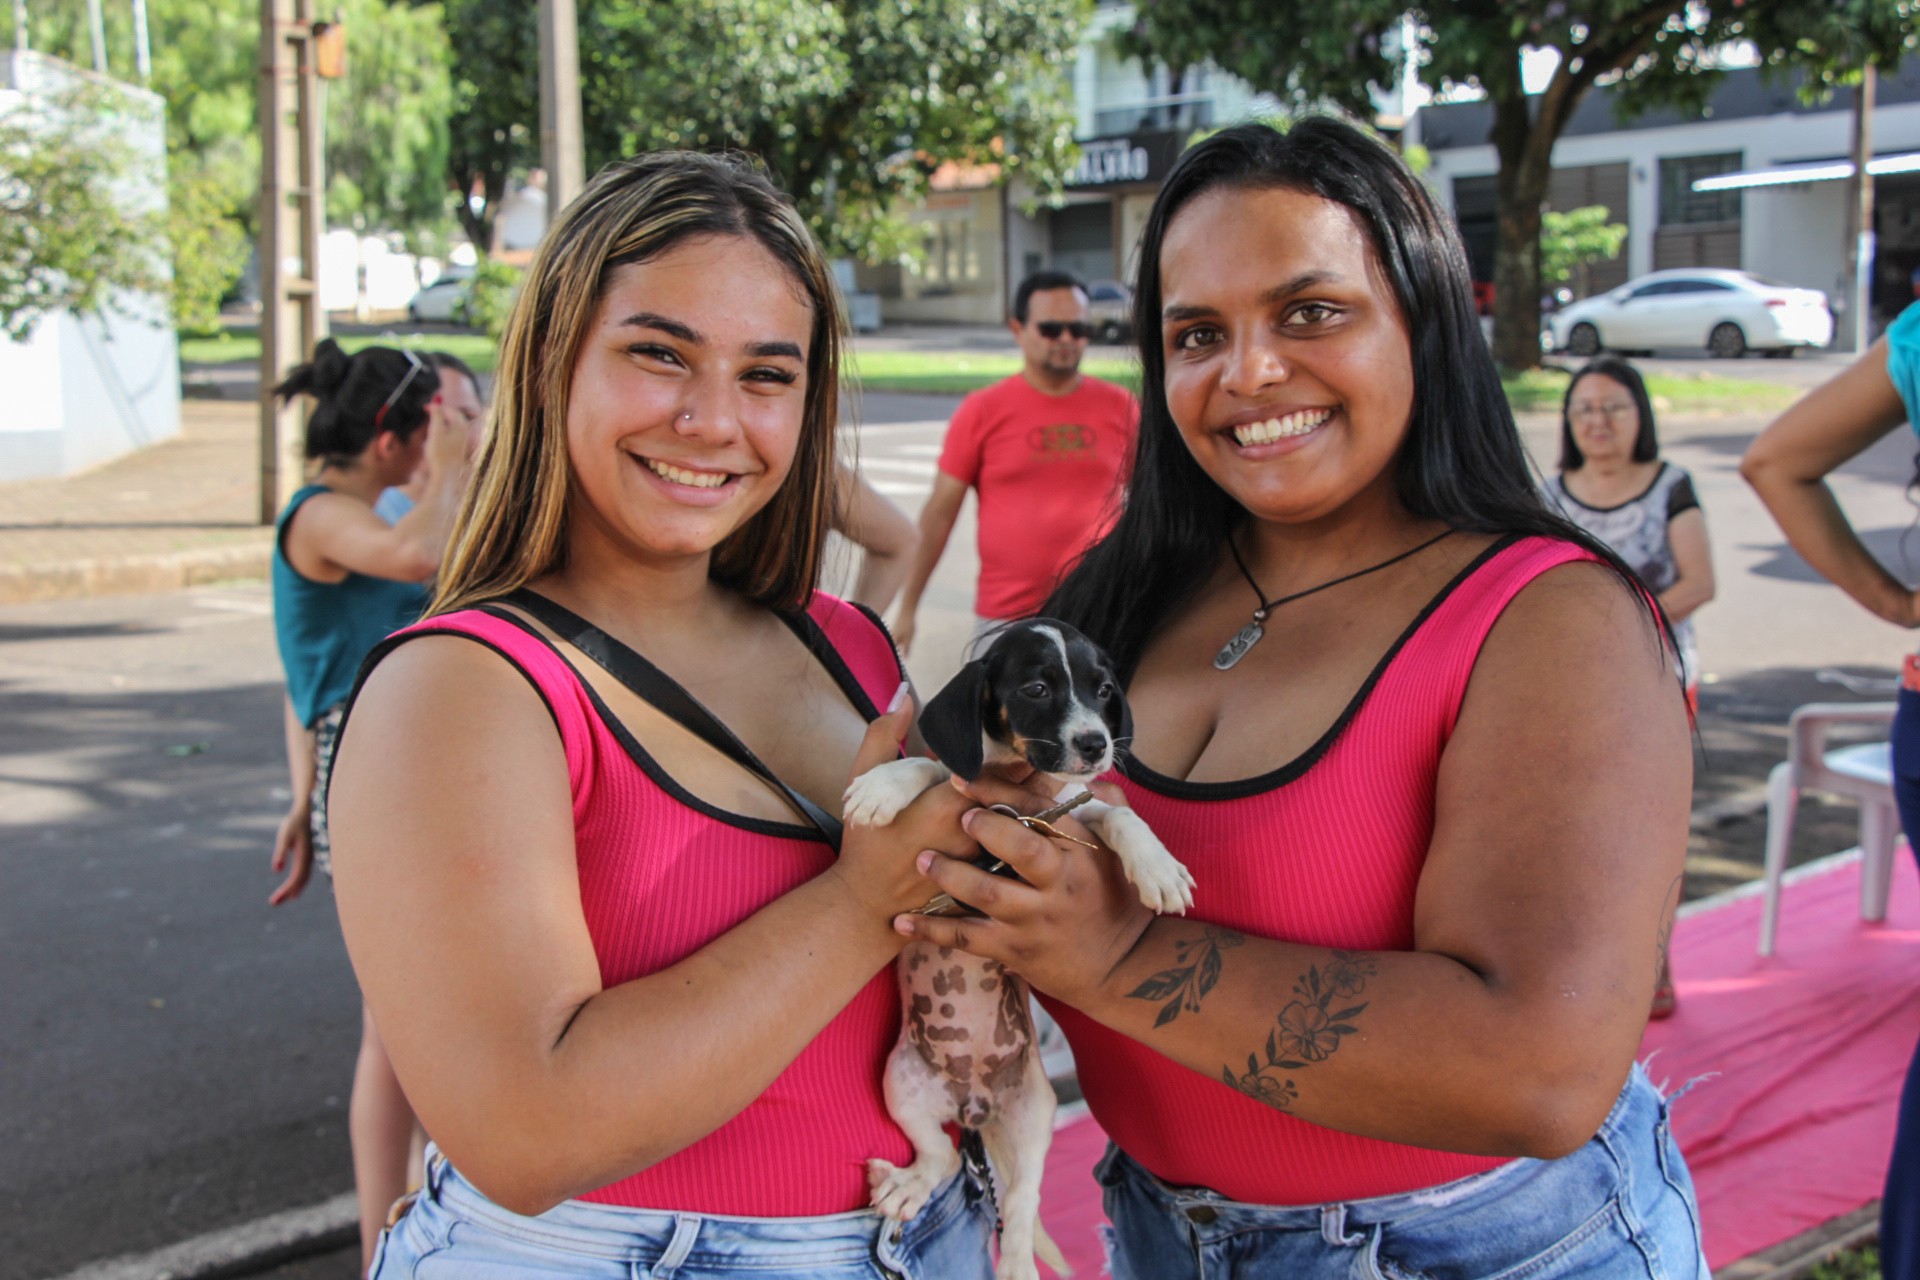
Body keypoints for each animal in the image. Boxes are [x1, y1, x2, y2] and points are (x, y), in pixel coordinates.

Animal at [843, 619, 1195, 1280]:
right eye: (1036, 688)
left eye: (1103, 689)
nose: (1096, 745)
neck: (1011, 774)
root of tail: (974, 1106)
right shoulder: (966, 781)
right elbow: (929, 766)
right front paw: (883, 786)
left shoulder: (1068, 813)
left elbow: (1117, 816)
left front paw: (1158, 866)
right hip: (902, 1087)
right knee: (942, 1157)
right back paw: (910, 1184)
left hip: (1035, 1117)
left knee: (1022, 1202)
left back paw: (1015, 1264)